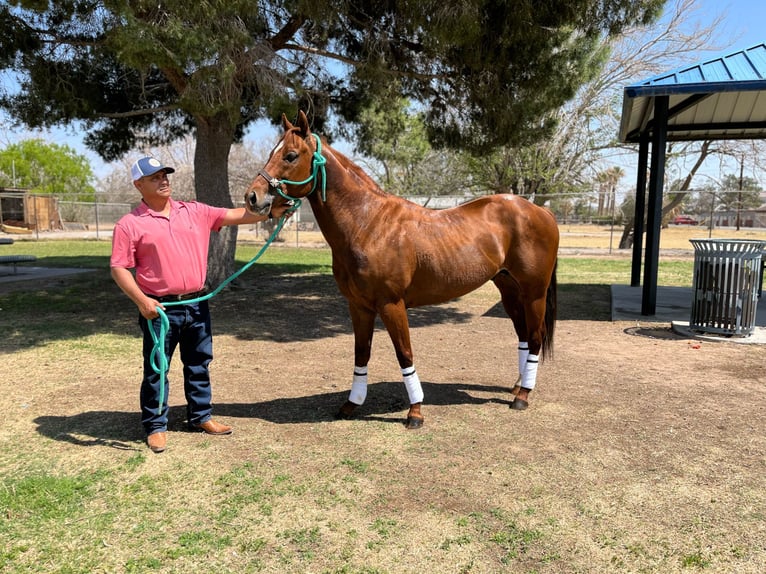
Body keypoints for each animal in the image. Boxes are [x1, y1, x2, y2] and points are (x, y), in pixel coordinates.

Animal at [245, 111, 559, 429]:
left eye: (291, 155)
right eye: (272, 152)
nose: (253, 197)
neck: (368, 224)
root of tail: (541, 211)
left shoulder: (391, 304)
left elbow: (404, 354)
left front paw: (415, 412)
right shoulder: (358, 306)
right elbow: (362, 353)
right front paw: (351, 404)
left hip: (534, 293)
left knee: (535, 338)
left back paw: (522, 396)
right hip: (509, 289)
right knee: (523, 336)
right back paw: (517, 387)